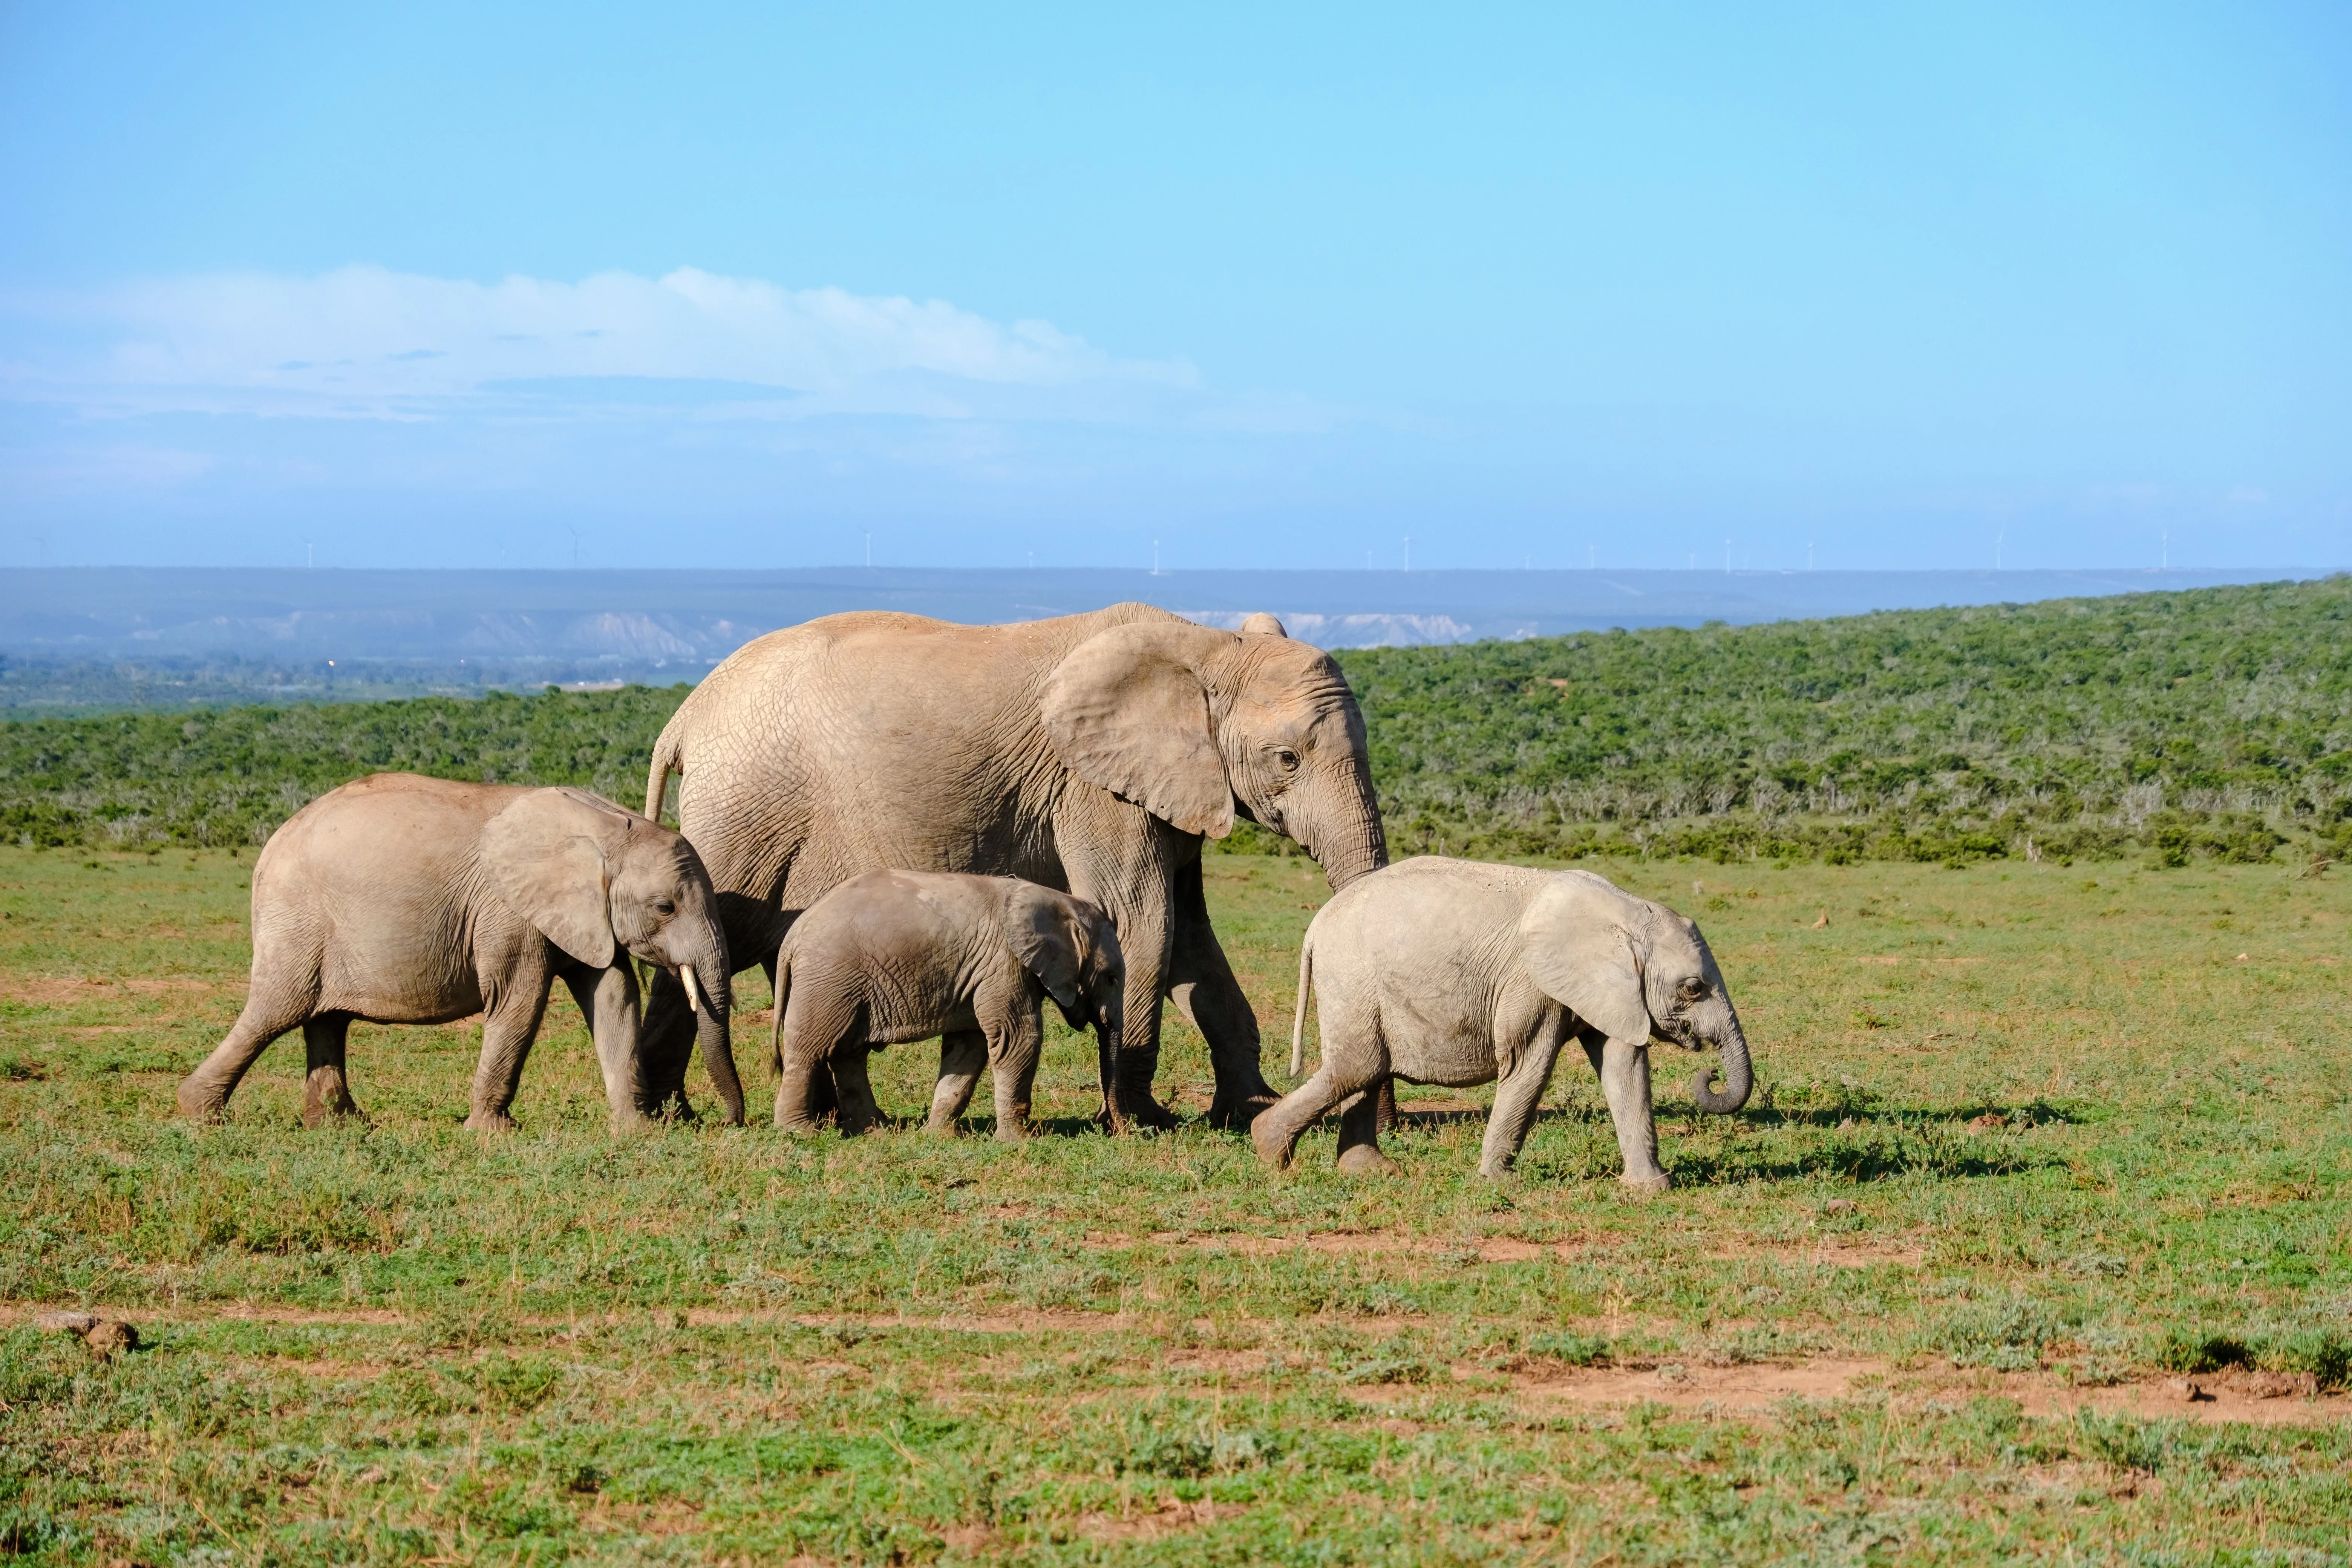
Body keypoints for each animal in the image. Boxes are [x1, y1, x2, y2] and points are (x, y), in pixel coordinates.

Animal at [175, 773, 742, 1130]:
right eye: (665, 907)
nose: (731, 1122)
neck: (606, 827)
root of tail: (273, 843)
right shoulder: (507, 912)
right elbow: (519, 1002)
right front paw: (494, 1134)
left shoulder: (586, 916)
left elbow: (613, 995)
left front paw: (636, 1131)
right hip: (296, 917)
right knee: (277, 1010)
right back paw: (201, 1115)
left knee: (326, 1019)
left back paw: (342, 1125)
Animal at [769, 870, 1124, 1140]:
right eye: (1111, 979)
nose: (1117, 1130)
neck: (1058, 900)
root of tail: (793, 936)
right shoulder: (1004, 962)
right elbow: (1016, 1037)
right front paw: (1020, 1141)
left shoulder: (982, 970)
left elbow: (969, 1047)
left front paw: (938, 1137)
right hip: (828, 980)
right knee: (810, 1051)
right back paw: (802, 1133)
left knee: (848, 1055)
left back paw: (876, 1133)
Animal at [1251, 857, 1753, 1188]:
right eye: (1693, 988)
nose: (1709, 1072)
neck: (1625, 912)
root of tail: (1315, 927)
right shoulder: (1532, 983)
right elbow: (1529, 1067)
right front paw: (1499, 1182)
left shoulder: (1613, 989)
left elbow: (1624, 1066)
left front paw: (1651, 1188)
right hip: (1351, 976)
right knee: (1358, 1066)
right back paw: (1271, 1154)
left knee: (1367, 1070)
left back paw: (1371, 1171)